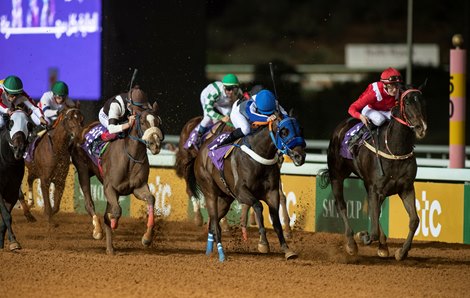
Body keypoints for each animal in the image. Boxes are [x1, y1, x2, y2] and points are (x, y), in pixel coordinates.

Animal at [70, 100, 163, 254]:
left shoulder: (138, 187)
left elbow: (151, 199)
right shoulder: (110, 188)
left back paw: (110, 248)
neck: (130, 157)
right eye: (143, 122)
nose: (155, 144)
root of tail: (82, 129)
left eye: (158, 121)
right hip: (82, 170)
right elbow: (116, 211)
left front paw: (147, 238)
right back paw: (97, 230)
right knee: (89, 203)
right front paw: (113, 222)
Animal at [185, 112, 306, 260]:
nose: (300, 156)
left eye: (300, 129)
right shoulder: (241, 192)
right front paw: (263, 243)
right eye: (284, 132)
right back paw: (221, 254)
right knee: (214, 220)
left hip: (225, 199)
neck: (259, 157)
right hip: (210, 192)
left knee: (213, 222)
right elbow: (258, 206)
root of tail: (199, 154)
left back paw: (209, 251)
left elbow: (276, 221)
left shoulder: (272, 193)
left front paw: (287, 249)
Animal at [320, 85, 426, 260]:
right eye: (407, 102)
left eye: (423, 101)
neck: (394, 149)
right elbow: (374, 230)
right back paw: (351, 243)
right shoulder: (375, 189)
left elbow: (414, 220)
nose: (421, 127)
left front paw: (401, 252)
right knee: (341, 205)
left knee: (374, 211)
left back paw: (383, 246)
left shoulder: (405, 188)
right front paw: (362, 236)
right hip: (337, 175)